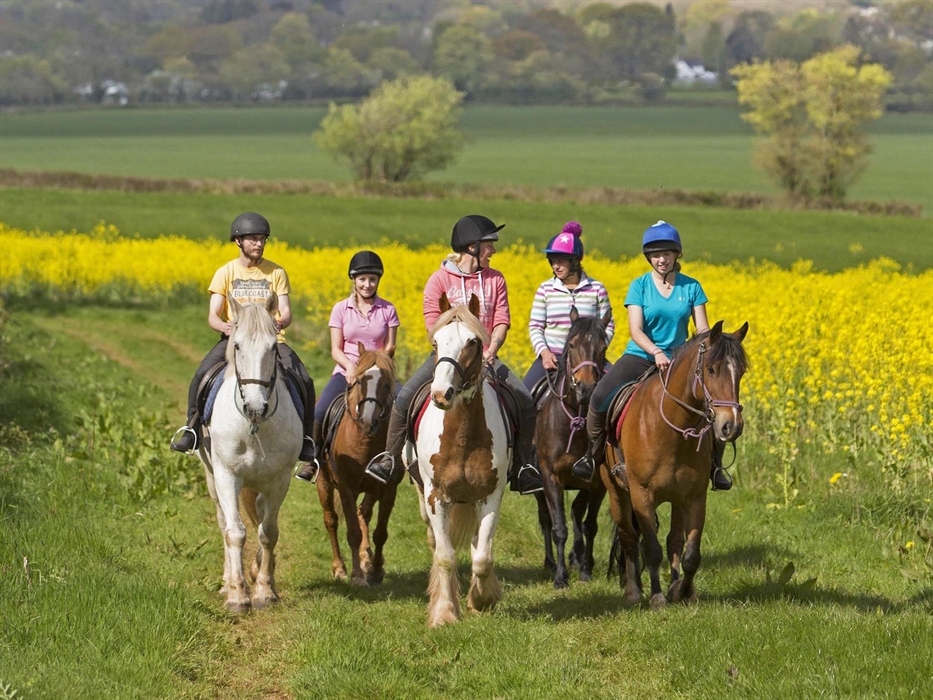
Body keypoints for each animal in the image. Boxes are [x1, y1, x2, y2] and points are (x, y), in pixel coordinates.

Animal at [196, 292, 303, 612]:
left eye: (273, 347)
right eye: (238, 346)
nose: (256, 407)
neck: (254, 425)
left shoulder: (279, 480)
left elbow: (268, 532)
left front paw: (265, 591)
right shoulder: (227, 476)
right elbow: (235, 532)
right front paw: (236, 595)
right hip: (212, 477)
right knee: (224, 523)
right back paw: (228, 581)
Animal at [315, 345, 398, 586]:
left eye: (387, 384)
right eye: (360, 381)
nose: (368, 421)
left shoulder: (388, 487)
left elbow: (380, 532)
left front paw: (375, 570)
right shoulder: (345, 488)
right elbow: (352, 532)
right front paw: (357, 576)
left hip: (372, 488)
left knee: (365, 513)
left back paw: (366, 558)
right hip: (323, 482)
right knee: (331, 521)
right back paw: (339, 568)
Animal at [411, 293, 510, 628]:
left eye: (473, 342)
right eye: (435, 343)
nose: (442, 394)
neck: (463, 435)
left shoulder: (489, 496)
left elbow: (482, 557)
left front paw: (481, 599)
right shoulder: (436, 497)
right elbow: (444, 556)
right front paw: (444, 612)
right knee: (436, 542)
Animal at [534, 308, 611, 588]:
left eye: (603, 346)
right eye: (573, 345)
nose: (586, 388)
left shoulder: (597, 481)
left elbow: (589, 524)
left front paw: (585, 569)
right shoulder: (550, 476)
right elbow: (558, 527)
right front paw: (560, 577)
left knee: (577, 512)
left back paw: (577, 558)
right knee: (546, 517)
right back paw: (551, 562)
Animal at [602, 321, 749, 609]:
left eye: (741, 372)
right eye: (711, 369)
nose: (731, 426)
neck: (671, 429)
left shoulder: (694, 497)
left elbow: (690, 553)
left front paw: (682, 591)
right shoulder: (642, 495)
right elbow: (651, 549)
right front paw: (657, 598)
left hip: (676, 499)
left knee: (673, 541)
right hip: (617, 493)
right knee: (628, 537)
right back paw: (633, 592)